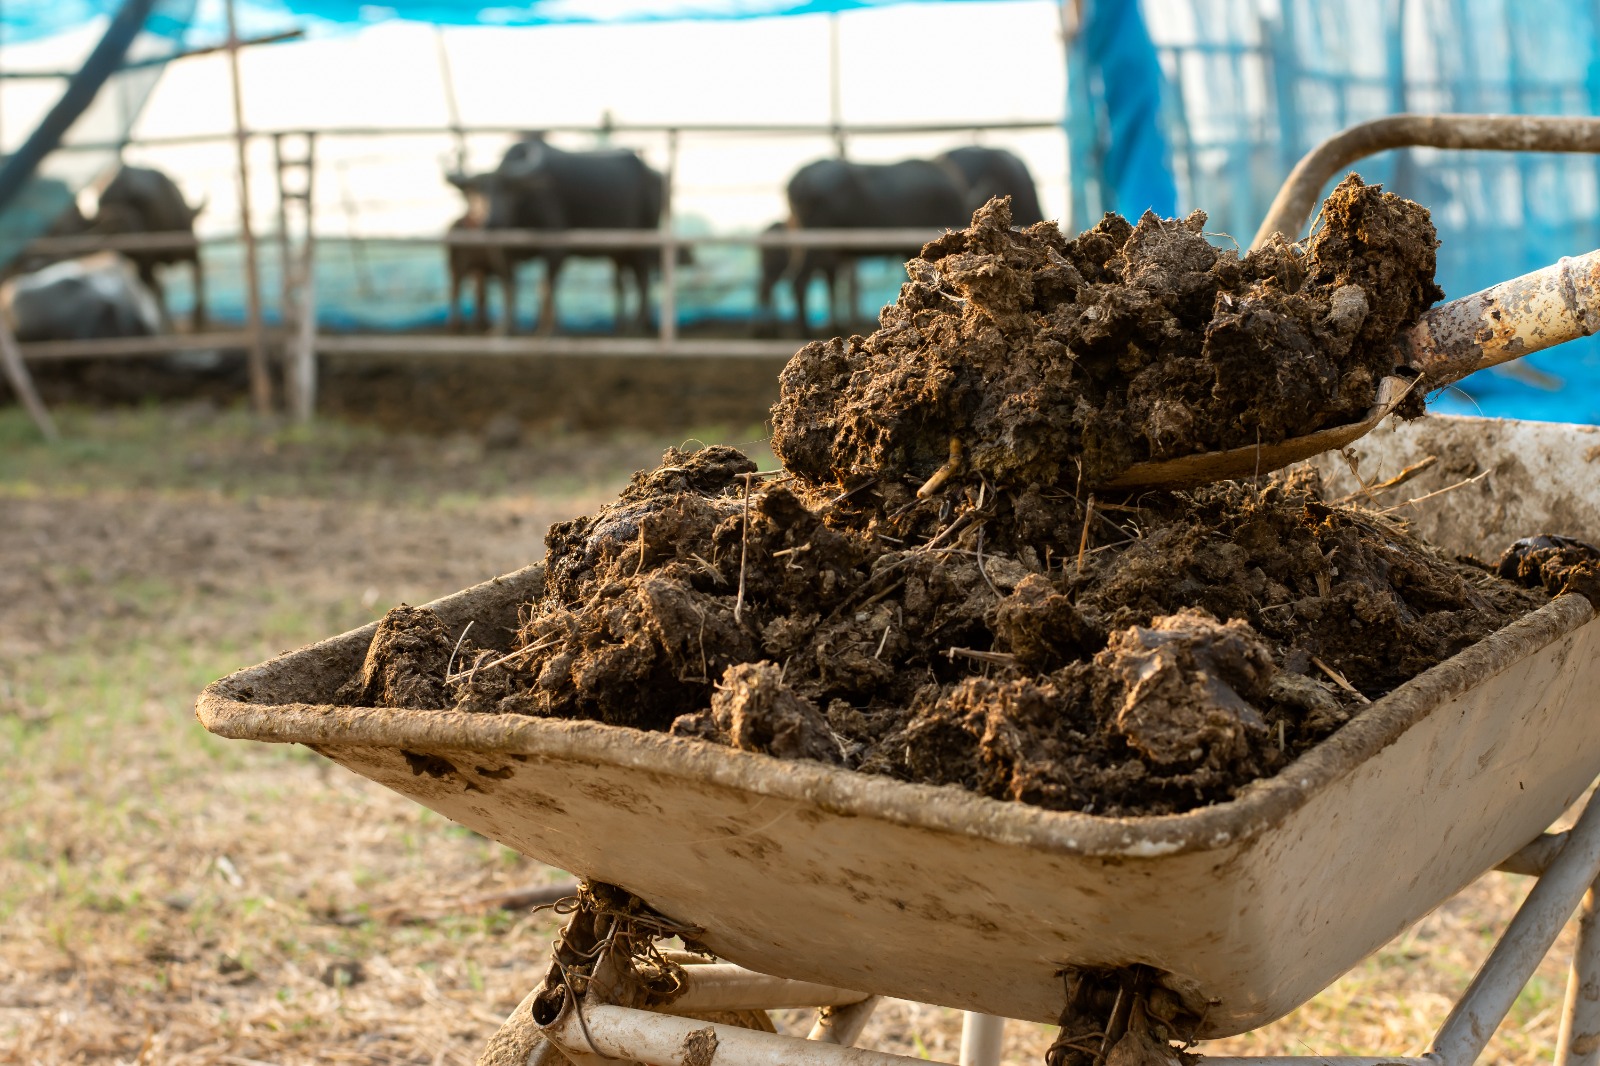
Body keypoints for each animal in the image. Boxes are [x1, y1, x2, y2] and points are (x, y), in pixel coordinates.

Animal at [478, 136, 667, 335]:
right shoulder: (501, 250)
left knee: (643, 279)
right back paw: (621, 326)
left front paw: (550, 329)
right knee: (621, 283)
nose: (491, 223)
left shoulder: (556, 246)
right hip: (621, 252)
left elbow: (545, 285)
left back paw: (637, 325)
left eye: (510, 190)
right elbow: (509, 285)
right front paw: (505, 327)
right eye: (483, 193)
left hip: (643, 242)